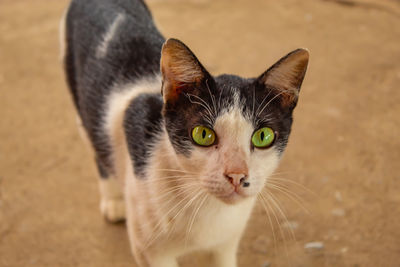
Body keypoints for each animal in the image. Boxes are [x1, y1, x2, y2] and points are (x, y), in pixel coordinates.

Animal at [60, 0, 310, 267]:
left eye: (263, 136)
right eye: (203, 134)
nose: (236, 175)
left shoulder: (226, 244)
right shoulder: (152, 253)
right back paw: (113, 200)